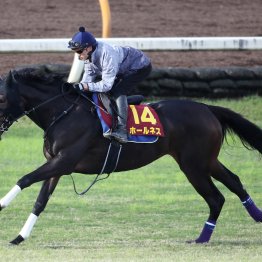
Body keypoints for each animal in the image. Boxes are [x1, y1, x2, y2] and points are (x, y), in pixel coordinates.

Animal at [0, 64, 260, 245]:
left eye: (2, 97)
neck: (64, 112)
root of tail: (207, 108)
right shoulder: (57, 165)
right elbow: (40, 201)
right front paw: (19, 237)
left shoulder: (64, 161)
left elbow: (25, 179)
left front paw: (1, 207)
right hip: (206, 160)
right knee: (234, 182)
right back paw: (256, 216)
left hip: (193, 166)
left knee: (216, 198)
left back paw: (202, 238)